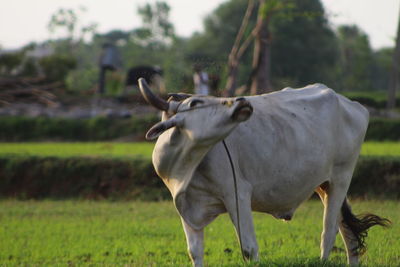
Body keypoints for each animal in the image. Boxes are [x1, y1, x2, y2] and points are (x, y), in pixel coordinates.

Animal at [138, 78, 390, 266]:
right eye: (194, 103)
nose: (241, 101)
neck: (187, 165)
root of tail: (351, 104)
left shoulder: (237, 194)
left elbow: (249, 249)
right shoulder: (186, 207)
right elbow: (194, 252)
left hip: (341, 179)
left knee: (328, 235)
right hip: (324, 185)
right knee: (349, 236)